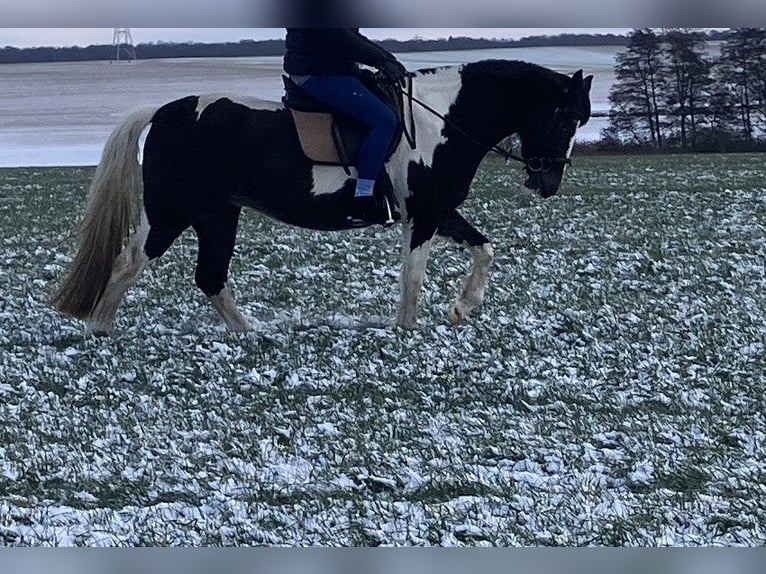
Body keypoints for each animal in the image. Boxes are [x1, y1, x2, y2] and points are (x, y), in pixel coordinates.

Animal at [51, 60, 593, 333]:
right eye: (567, 116)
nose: (548, 183)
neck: (440, 120)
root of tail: (164, 111)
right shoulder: (425, 214)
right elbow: (413, 276)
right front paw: (409, 329)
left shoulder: (440, 211)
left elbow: (485, 249)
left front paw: (464, 306)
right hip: (170, 212)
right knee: (128, 264)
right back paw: (100, 330)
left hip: (217, 215)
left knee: (210, 277)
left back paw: (250, 332)